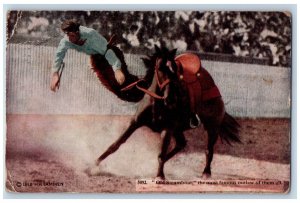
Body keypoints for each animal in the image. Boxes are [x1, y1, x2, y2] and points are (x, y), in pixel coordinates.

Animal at [92, 46, 240, 179]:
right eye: (160, 68)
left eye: (175, 70)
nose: (171, 98)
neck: (156, 103)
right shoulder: (135, 122)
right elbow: (115, 144)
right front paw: (94, 164)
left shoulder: (167, 129)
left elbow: (161, 155)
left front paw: (159, 176)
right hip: (179, 129)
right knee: (181, 144)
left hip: (212, 126)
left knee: (208, 150)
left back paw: (206, 173)